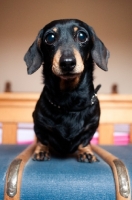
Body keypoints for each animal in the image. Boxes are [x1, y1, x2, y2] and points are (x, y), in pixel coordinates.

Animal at [24, 18, 109, 162]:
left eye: (82, 36)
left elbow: (85, 141)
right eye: (50, 37)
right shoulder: (39, 125)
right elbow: (42, 140)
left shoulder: (90, 128)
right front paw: (41, 151)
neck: (70, 99)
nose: (67, 63)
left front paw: (86, 152)